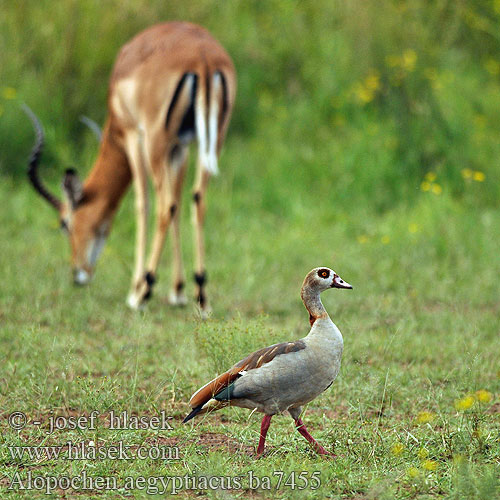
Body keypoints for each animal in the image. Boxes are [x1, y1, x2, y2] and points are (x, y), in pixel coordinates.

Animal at [26, 24, 237, 312]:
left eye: (64, 223)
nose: (78, 275)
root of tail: (202, 57)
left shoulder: (133, 137)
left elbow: (142, 205)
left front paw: (136, 288)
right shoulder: (180, 147)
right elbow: (179, 205)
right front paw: (178, 291)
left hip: (155, 141)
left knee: (163, 206)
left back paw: (142, 293)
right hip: (214, 142)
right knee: (195, 200)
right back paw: (202, 296)